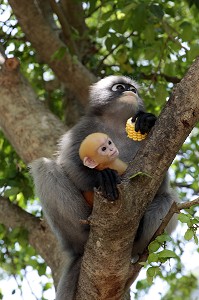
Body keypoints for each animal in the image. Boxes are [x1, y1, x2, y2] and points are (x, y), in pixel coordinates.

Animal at [29, 75, 177, 300]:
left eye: (133, 89)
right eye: (120, 87)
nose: (130, 91)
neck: (116, 123)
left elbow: (158, 183)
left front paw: (146, 120)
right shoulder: (83, 127)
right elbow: (69, 164)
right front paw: (102, 177)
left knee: (169, 198)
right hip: (72, 234)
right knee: (45, 167)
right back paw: (86, 229)